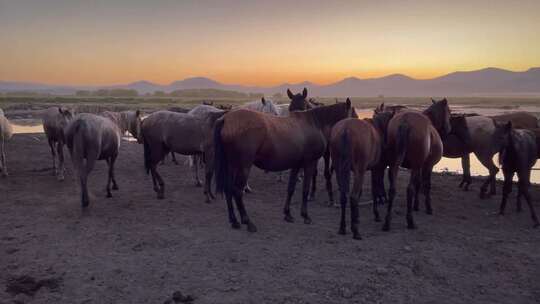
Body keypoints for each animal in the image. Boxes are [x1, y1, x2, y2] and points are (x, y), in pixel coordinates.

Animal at [213, 101, 356, 232]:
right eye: (353, 113)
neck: (314, 123)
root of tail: (226, 119)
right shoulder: (309, 163)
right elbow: (305, 189)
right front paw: (305, 216)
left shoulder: (296, 165)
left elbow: (291, 188)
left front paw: (288, 214)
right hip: (243, 166)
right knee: (237, 191)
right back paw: (248, 222)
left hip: (231, 166)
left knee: (228, 189)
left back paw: (234, 221)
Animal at [330, 110, 392, 240]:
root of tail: (346, 129)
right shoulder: (375, 169)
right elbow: (374, 190)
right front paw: (376, 215)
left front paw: (356, 218)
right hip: (360, 171)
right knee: (352, 197)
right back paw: (355, 231)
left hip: (340, 170)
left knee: (343, 197)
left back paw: (342, 227)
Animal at [380, 99, 452, 230]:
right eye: (449, 111)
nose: (449, 128)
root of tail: (405, 122)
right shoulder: (428, 166)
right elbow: (426, 185)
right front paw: (428, 208)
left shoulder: (419, 167)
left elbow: (418, 183)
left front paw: (416, 205)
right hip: (415, 166)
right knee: (410, 189)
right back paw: (410, 220)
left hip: (395, 164)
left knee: (393, 189)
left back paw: (387, 221)